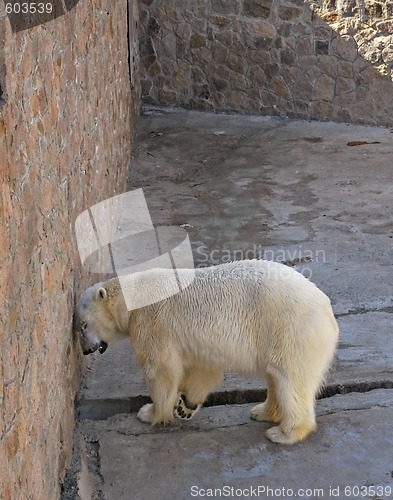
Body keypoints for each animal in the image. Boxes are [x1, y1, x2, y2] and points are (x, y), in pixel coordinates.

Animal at [78, 260, 338, 444]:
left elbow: (160, 370)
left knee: (290, 380)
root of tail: (327, 312)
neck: (134, 297)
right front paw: (185, 405)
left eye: (83, 325)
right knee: (275, 377)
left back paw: (283, 433)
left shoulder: (153, 324)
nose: (85, 349)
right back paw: (262, 411)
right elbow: (203, 368)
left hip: (288, 330)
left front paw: (149, 412)